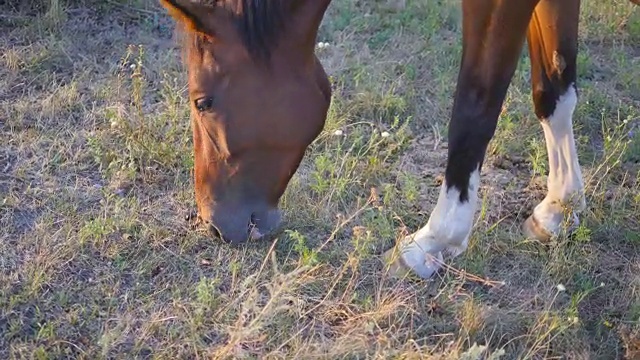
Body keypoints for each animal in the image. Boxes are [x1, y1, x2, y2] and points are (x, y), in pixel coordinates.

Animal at [160, 0, 640, 280]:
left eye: (202, 102)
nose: (213, 222)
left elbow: (476, 104)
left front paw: (435, 239)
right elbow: (554, 88)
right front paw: (559, 210)